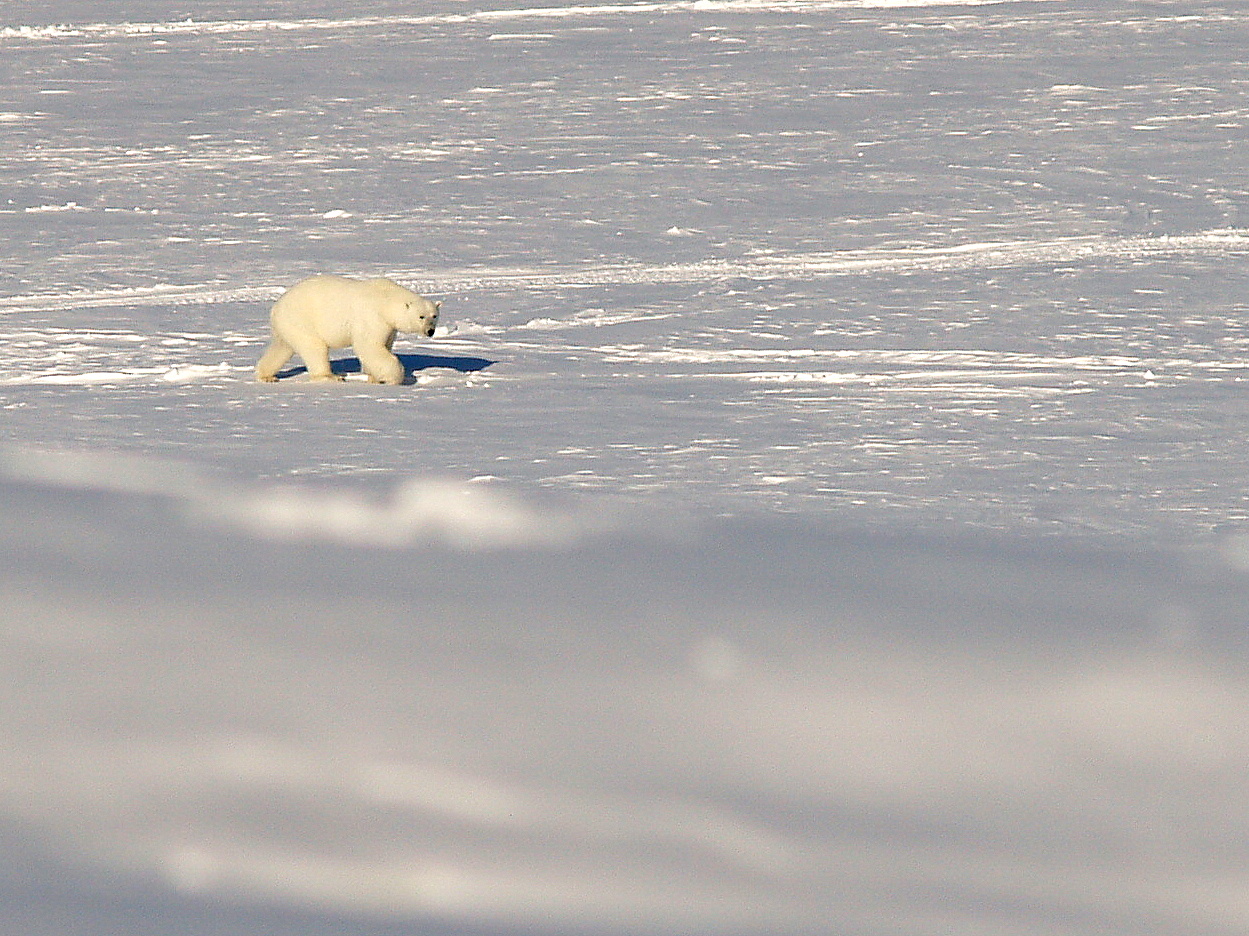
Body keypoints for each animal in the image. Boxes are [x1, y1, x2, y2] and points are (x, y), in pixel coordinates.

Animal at [253, 273, 439, 382]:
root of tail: (276, 307)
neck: (386, 300)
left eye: (434, 316)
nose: (430, 331)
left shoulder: (389, 327)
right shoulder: (371, 317)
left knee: (281, 348)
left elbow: (384, 345)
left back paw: (267, 375)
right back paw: (331, 376)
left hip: (287, 325)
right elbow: (369, 346)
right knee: (314, 348)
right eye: (421, 316)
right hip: (302, 320)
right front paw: (391, 377)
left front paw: (373, 376)